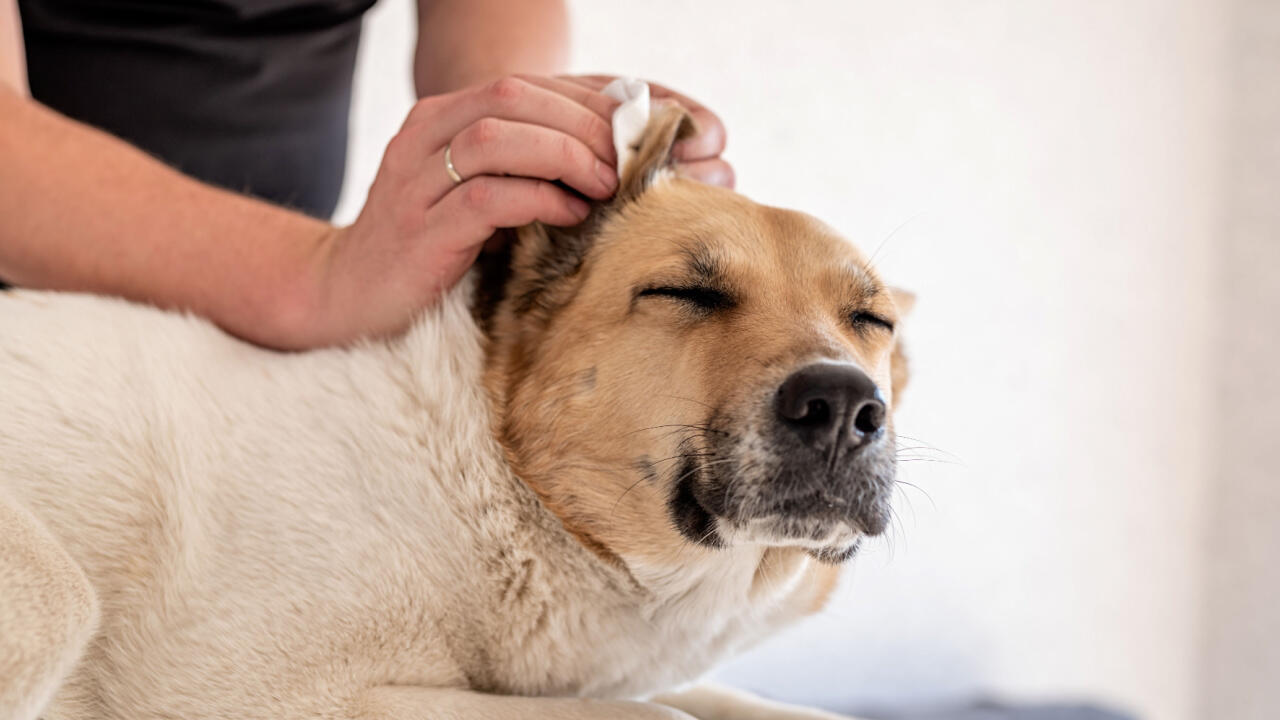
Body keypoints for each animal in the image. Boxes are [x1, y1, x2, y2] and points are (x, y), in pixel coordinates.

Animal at [5, 103, 916, 717]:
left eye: (871, 321)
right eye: (685, 293)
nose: (843, 403)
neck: (492, 479)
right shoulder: (276, 695)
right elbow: (652, 712)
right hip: (52, 596)